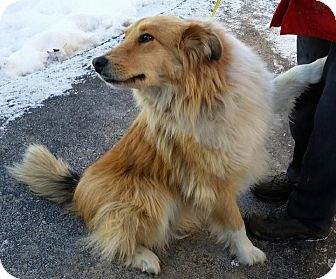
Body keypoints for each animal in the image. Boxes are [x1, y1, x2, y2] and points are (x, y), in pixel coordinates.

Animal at [9, 15, 326, 276]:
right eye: (125, 36)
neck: (202, 92)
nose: (96, 63)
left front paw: (323, 64)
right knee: (113, 239)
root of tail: (77, 190)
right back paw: (144, 258)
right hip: (150, 196)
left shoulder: (262, 100)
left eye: (146, 38)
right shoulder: (211, 177)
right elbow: (234, 220)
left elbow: (293, 76)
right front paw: (247, 253)